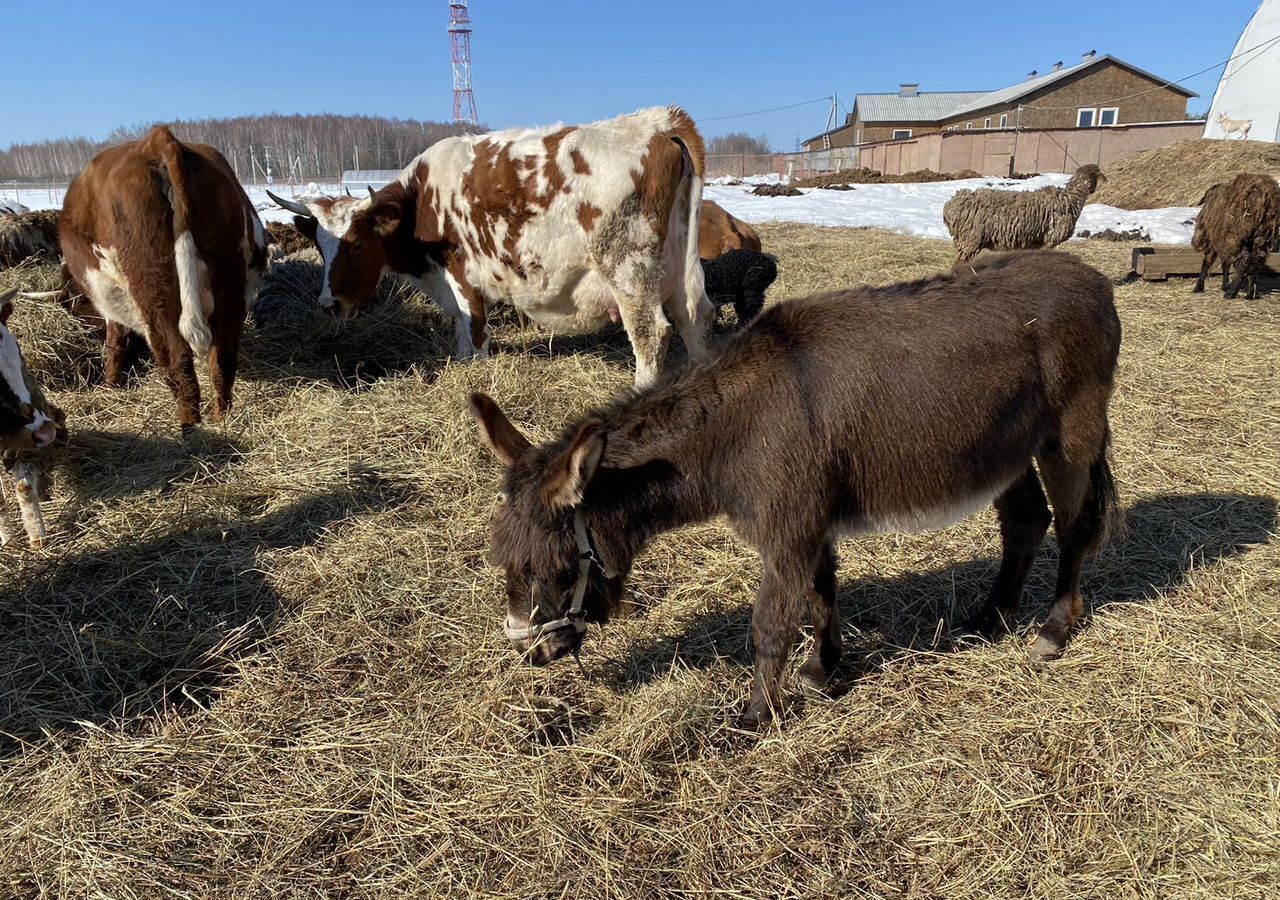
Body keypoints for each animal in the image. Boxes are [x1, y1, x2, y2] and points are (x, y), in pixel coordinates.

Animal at [63, 124, 268, 430]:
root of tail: (157, 140)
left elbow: (114, 345)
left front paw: (109, 386)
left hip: (153, 291)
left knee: (179, 364)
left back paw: (190, 428)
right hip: (229, 285)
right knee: (222, 359)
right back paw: (220, 419)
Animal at [268, 105, 711, 386]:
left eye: (357, 244)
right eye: (320, 248)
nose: (329, 305)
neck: (422, 198)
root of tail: (655, 121)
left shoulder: (463, 273)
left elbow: (475, 334)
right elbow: (463, 339)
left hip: (628, 268)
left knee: (651, 335)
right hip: (678, 268)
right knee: (694, 318)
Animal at [1187, 167, 1280, 295]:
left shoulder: (1216, 239)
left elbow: (1209, 260)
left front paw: (1199, 286)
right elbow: (1225, 262)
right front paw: (1224, 285)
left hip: (1237, 235)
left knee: (1244, 259)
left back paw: (1231, 292)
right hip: (1262, 235)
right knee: (1256, 260)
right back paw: (1250, 293)